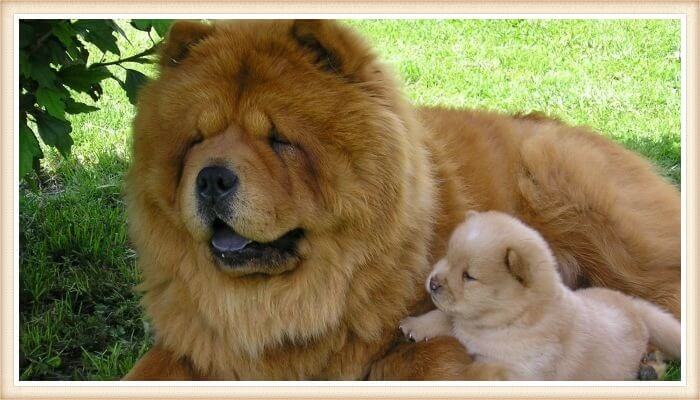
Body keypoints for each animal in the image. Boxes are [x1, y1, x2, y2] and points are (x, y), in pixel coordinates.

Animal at [402, 211, 680, 380]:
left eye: (468, 276)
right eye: (447, 257)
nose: (432, 282)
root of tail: (632, 304)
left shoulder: (520, 370)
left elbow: (480, 371)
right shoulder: (465, 323)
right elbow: (446, 318)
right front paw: (413, 325)